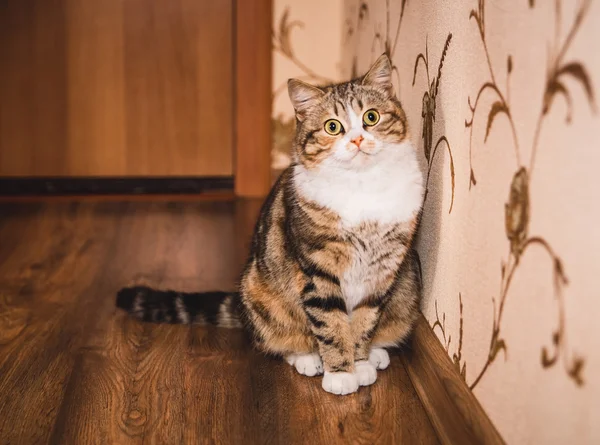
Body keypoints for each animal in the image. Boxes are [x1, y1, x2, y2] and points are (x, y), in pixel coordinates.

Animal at [117, 53, 424, 394]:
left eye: (371, 117)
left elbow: (365, 320)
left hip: (408, 281)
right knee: (280, 337)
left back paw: (376, 354)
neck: (362, 186)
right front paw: (341, 374)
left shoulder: (382, 270)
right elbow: (330, 323)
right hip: (260, 290)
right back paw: (307, 358)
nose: (357, 139)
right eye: (333, 127)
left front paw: (359, 362)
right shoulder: (318, 269)